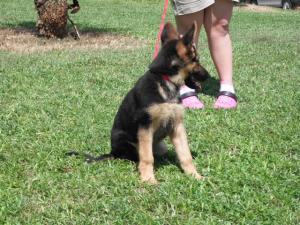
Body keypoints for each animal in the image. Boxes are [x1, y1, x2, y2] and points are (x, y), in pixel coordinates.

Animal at [70, 21, 210, 185]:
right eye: (197, 60)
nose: (208, 76)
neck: (165, 81)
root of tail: (112, 152)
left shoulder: (177, 125)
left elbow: (185, 154)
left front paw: (194, 175)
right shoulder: (145, 126)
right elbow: (147, 157)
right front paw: (148, 179)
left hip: (160, 144)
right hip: (127, 141)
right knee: (134, 156)